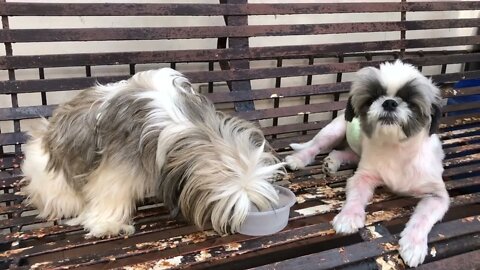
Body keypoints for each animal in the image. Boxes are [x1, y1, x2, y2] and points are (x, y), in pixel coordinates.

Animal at [284, 60, 446, 266]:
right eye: (372, 99)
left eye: (410, 101)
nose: (389, 102)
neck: (397, 149)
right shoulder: (363, 176)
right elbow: (356, 197)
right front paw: (348, 216)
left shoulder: (437, 195)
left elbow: (423, 218)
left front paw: (413, 244)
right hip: (334, 131)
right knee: (315, 146)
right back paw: (298, 159)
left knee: (342, 152)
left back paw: (332, 162)